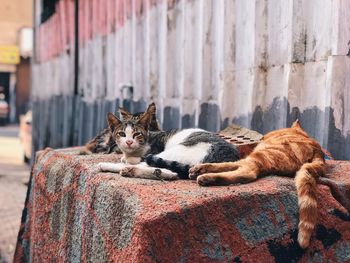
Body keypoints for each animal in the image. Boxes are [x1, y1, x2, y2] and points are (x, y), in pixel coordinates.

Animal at [98, 104, 241, 180]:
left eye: (137, 134)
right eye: (122, 134)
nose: (128, 142)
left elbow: (135, 159)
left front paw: (128, 160)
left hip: (179, 149)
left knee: (151, 165)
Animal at [190, 120, 326, 249]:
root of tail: (318, 151)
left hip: (260, 155)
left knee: (246, 172)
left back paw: (205, 176)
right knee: (237, 168)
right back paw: (200, 171)